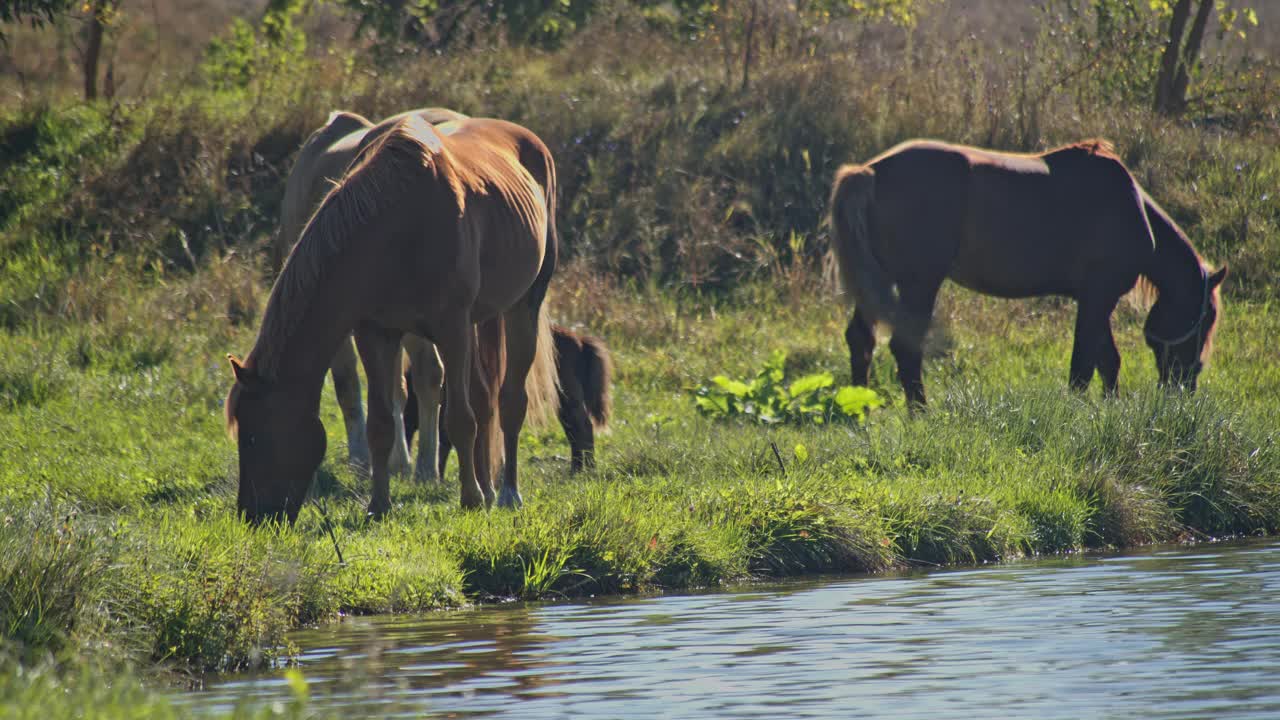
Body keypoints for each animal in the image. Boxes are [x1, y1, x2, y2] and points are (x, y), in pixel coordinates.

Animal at [407, 322, 611, 474]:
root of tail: (580, 340)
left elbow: (446, 440)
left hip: (568, 397)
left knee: (582, 425)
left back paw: (584, 469)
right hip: (563, 402)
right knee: (574, 429)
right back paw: (578, 468)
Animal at [834, 135, 1223, 404]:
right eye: (1206, 317)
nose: (1186, 385)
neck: (1131, 209)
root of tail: (869, 172)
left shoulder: (1093, 299)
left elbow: (1106, 359)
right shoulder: (1099, 297)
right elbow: (1084, 362)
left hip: (878, 285)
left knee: (861, 340)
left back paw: (860, 410)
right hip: (919, 284)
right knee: (906, 347)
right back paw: (920, 413)